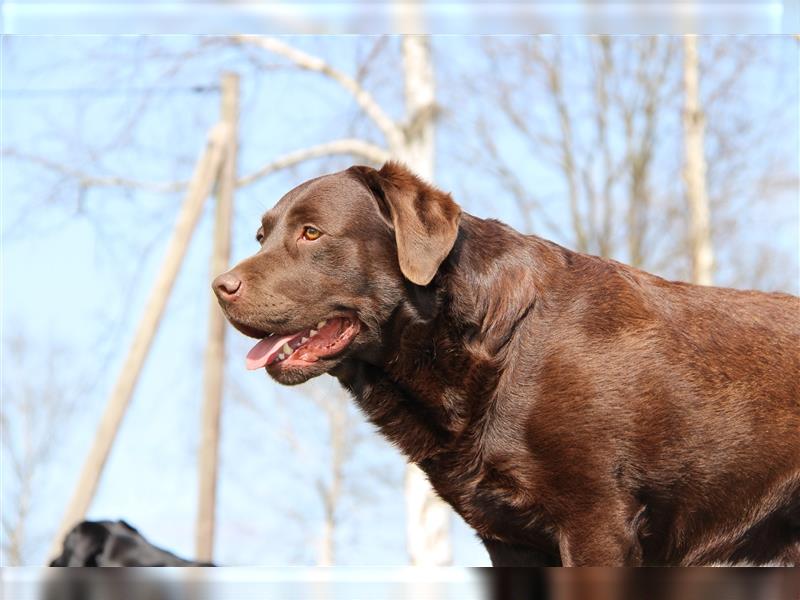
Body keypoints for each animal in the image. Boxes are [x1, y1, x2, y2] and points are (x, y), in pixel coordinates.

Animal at [212, 162, 800, 564]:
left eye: (311, 233)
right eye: (261, 237)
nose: (219, 286)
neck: (497, 350)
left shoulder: (599, 520)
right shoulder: (508, 539)